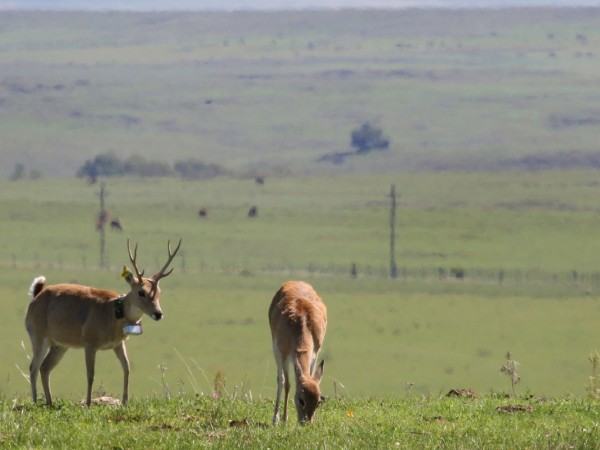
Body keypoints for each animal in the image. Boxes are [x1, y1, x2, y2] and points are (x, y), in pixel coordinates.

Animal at [24, 239, 183, 408]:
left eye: (159, 291)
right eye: (141, 292)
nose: (158, 313)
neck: (113, 312)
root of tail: (35, 297)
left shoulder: (118, 344)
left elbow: (127, 367)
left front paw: (125, 402)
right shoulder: (89, 343)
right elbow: (90, 374)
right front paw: (88, 403)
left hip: (60, 344)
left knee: (45, 367)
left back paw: (50, 402)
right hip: (39, 335)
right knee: (33, 366)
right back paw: (35, 401)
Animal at [268, 282, 326, 426]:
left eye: (318, 402)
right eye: (301, 400)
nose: (306, 423)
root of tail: (295, 281)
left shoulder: (314, 354)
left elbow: (310, 375)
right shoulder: (283, 354)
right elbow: (288, 384)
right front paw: (284, 419)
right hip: (276, 351)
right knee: (281, 379)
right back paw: (275, 419)